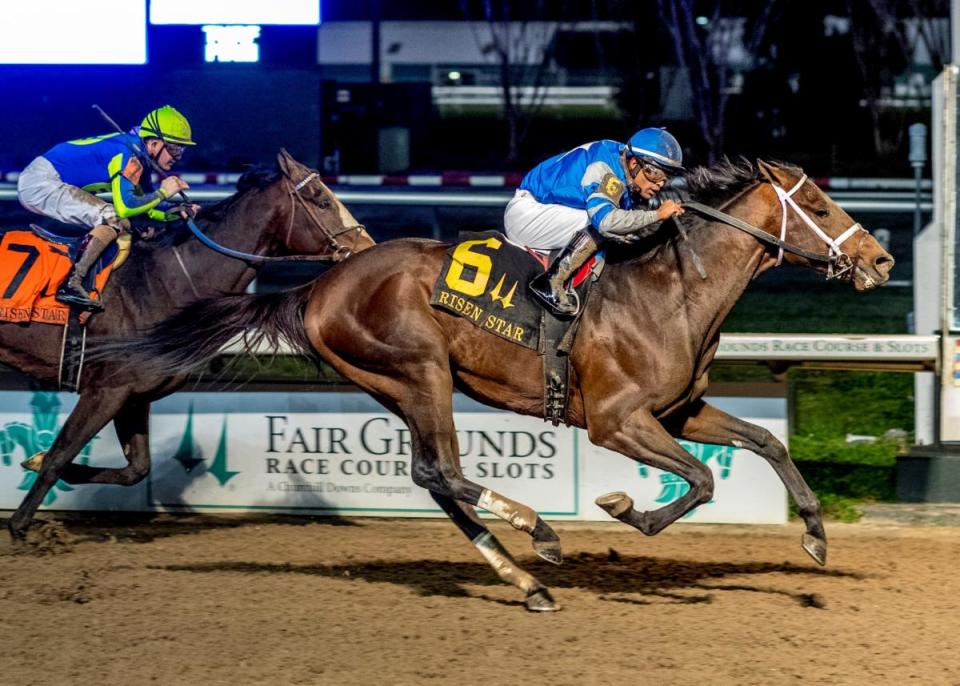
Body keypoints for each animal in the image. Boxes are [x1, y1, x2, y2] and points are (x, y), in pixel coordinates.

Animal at [2, 152, 376, 544]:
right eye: (322, 200)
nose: (367, 249)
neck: (162, 282)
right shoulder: (105, 389)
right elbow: (60, 454)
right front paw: (20, 524)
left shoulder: (133, 396)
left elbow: (136, 469)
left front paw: (36, 461)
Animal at [80, 161, 892, 612]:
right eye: (821, 207)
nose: (881, 260)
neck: (672, 289)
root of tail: (317, 285)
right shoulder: (618, 421)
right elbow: (700, 481)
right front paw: (625, 508)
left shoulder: (679, 410)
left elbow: (762, 444)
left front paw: (815, 536)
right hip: (420, 370)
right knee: (440, 470)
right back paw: (540, 536)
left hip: (397, 384)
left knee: (435, 476)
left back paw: (527, 580)